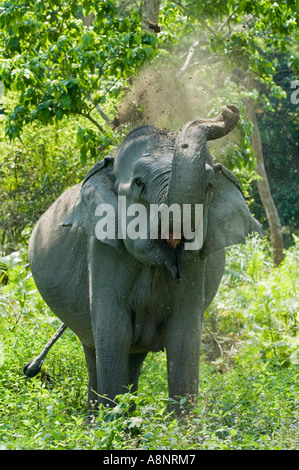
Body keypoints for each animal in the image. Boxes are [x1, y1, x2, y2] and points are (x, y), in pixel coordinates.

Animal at [27, 104, 262, 414]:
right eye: (139, 183)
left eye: (209, 186)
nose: (229, 109)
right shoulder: (101, 249)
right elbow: (113, 332)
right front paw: (112, 424)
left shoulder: (195, 265)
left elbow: (184, 335)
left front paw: (180, 426)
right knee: (96, 347)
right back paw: (98, 419)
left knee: (133, 354)